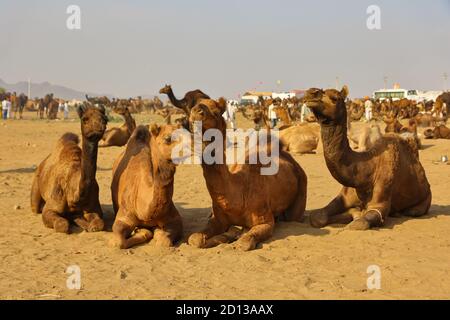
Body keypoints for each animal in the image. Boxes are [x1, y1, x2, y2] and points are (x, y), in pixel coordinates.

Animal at [30, 104, 108, 234]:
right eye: (84, 119)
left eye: (105, 119)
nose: (99, 125)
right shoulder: (52, 204)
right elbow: (62, 224)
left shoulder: (94, 207)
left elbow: (100, 223)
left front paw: (89, 226)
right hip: (36, 184)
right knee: (35, 207)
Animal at [182, 97, 306, 250]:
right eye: (192, 107)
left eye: (216, 112)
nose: (196, 111)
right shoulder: (218, 220)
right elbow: (194, 238)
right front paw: (223, 237)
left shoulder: (265, 221)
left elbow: (244, 243)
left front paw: (235, 236)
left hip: (301, 188)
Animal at [304, 85, 430, 230]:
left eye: (334, 98)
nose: (311, 92)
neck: (367, 171)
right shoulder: (343, 197)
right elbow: (317, 217)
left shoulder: (380, 201)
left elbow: (359, 223)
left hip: (425, 200)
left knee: (413, 210)